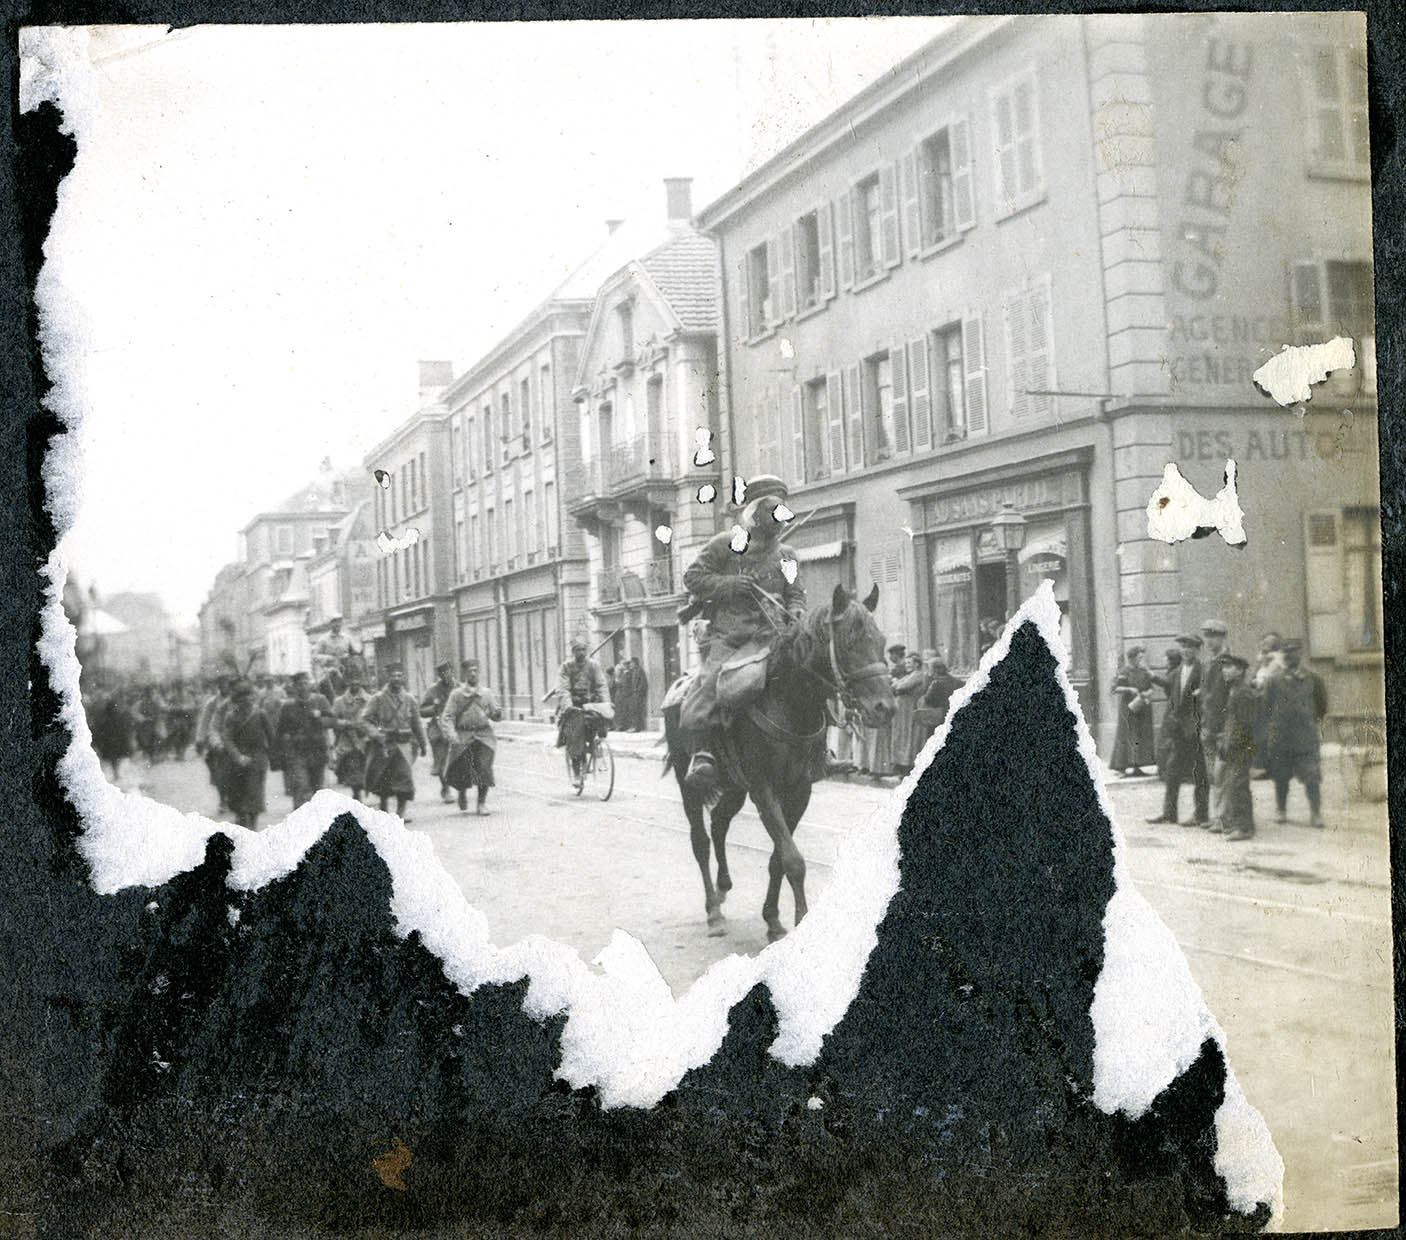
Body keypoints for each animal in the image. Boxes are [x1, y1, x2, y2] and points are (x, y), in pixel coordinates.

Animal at [663, 579, 894, 939]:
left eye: (881, 641)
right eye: (850, 642)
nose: (885, 707)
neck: (789, 699)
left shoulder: (799, 791)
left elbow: (778, 860)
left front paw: (772, 920)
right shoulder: (764, 789)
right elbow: (792, 860)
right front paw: (800, 920)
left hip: (734, 786)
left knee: (719, 823)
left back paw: (724, 886)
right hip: (688, 782)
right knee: (700, 840)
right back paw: (713, 911)